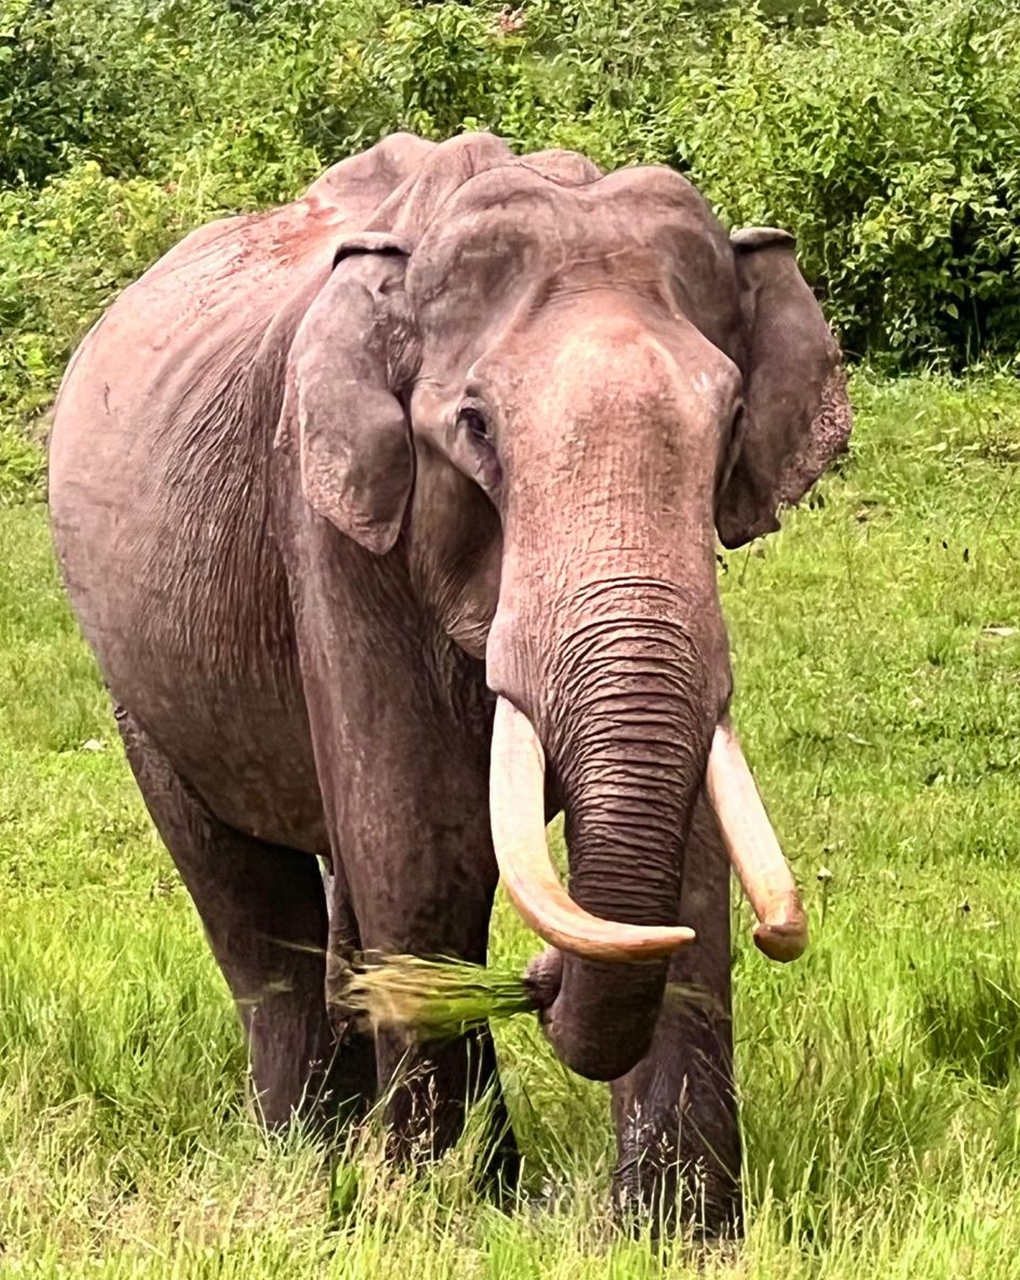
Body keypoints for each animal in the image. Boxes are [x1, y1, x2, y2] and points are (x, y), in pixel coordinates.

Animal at [48, 131, 851, 1233]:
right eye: (474, 425)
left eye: (730, 420)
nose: (540, 978)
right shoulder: (330, 526)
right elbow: (419, 843)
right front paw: (448, 1206)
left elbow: (693, 857)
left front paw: (674, 1230)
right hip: (137, 679)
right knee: (248, 896)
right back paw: (313, 1156)